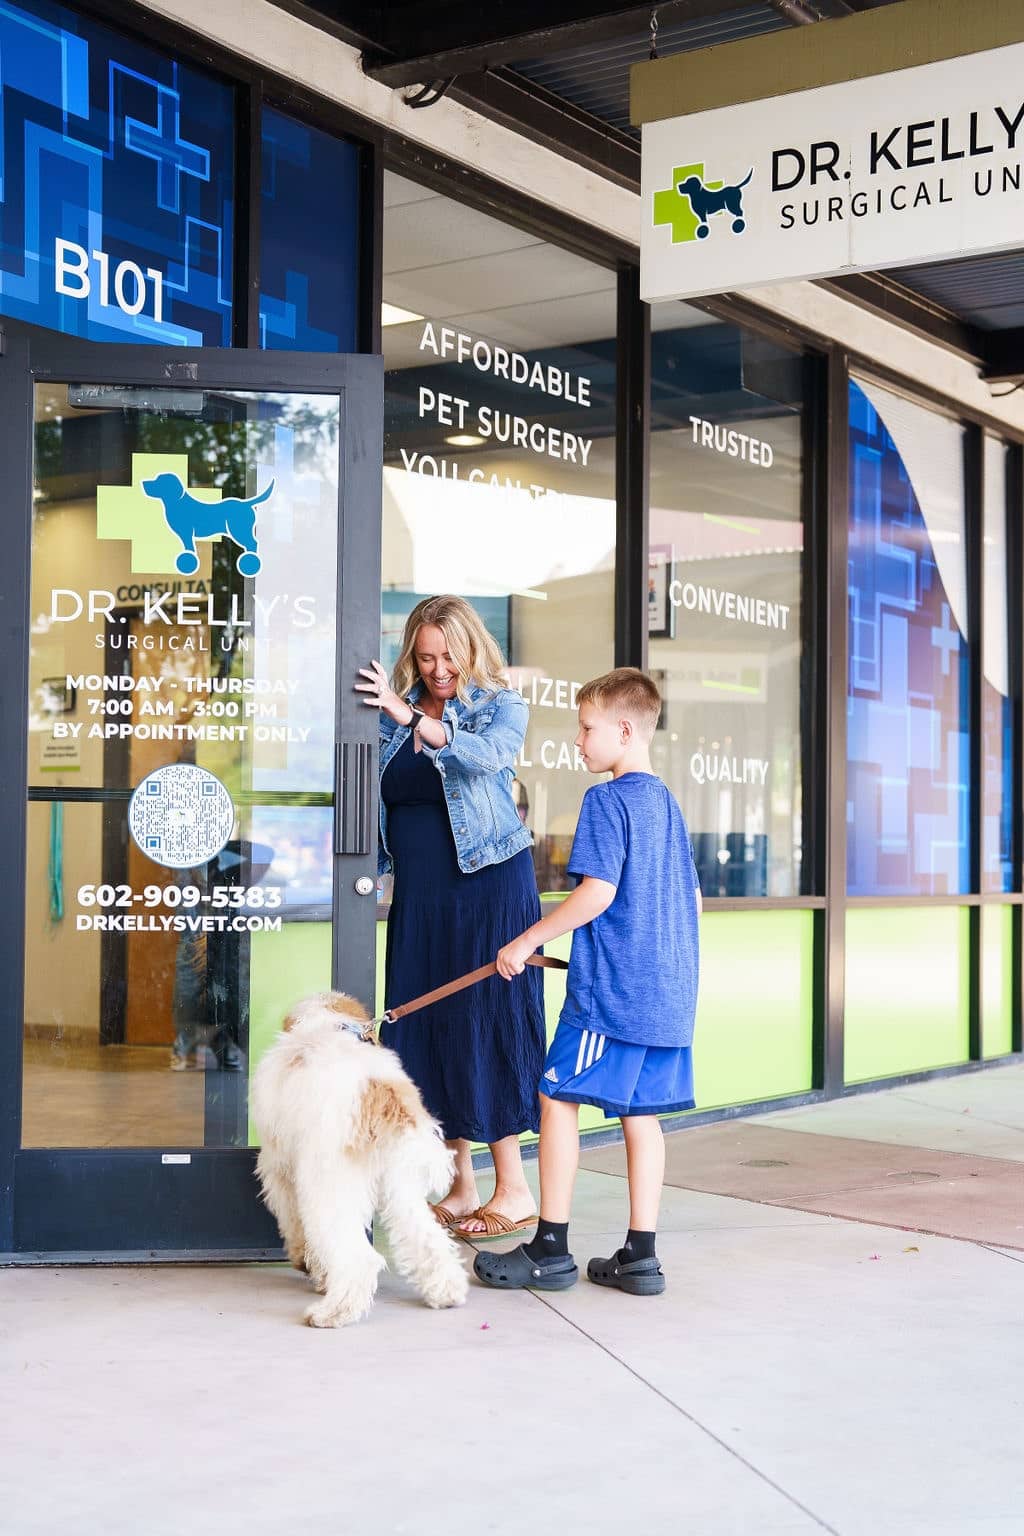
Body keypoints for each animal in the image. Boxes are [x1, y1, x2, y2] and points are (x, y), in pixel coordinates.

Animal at [251, 989, 469, 1327]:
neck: (327, 1023)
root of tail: (382, 1097)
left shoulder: (280, 1169)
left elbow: (294, 1223)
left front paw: (309, 1265)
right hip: (401, 1186)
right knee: (428, 1237)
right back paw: (447, 1292)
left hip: (329, 1188)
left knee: (358, 1258)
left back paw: (333, 1313)